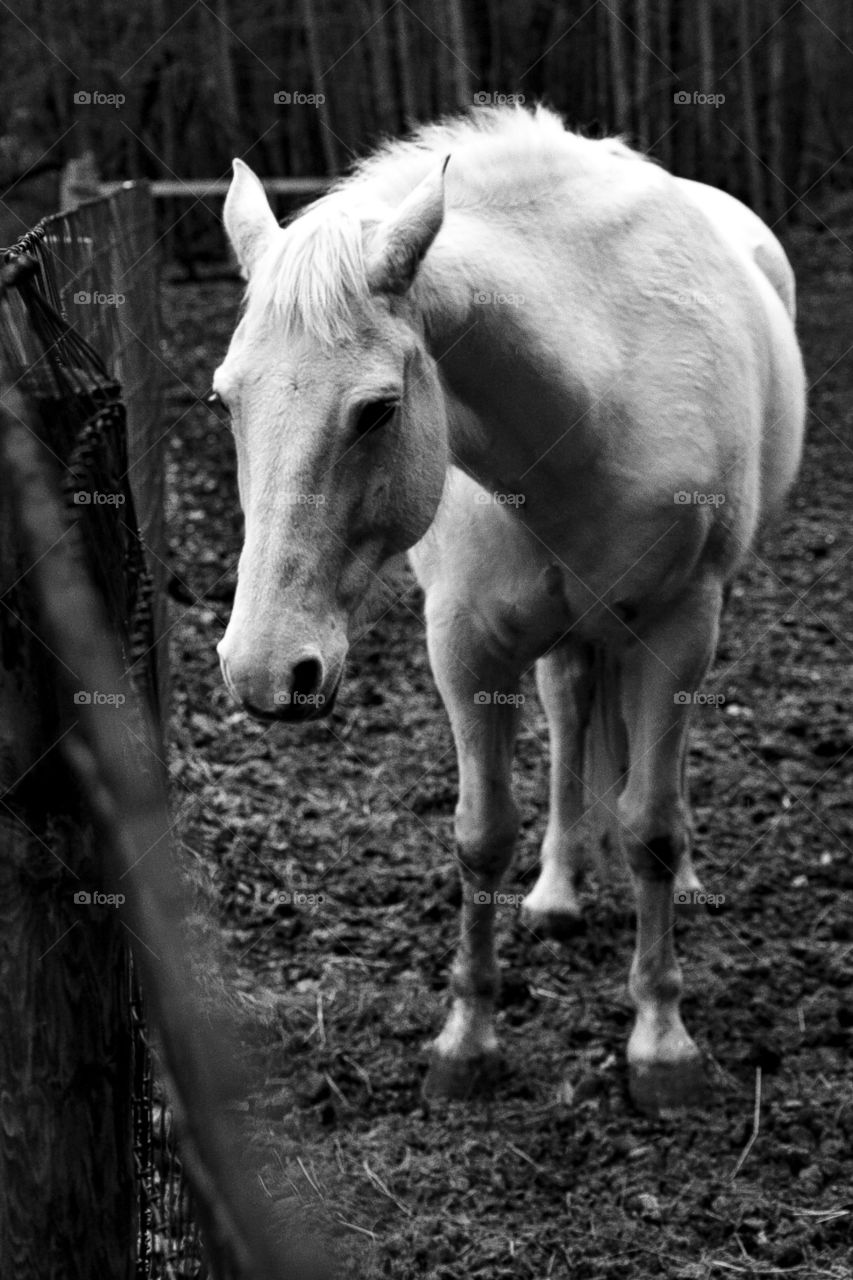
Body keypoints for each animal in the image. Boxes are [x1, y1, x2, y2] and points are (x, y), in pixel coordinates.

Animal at [212, 106, 805, 1114]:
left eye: (377, 410)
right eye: (224, 399)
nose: (264, 671)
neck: (588, 407)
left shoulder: (678, 629)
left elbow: (650, 827)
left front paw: (661, 1047)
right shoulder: (462, 647)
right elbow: (480, 835)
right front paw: (466, 1042)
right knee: (568, 710)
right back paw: (559, 889)